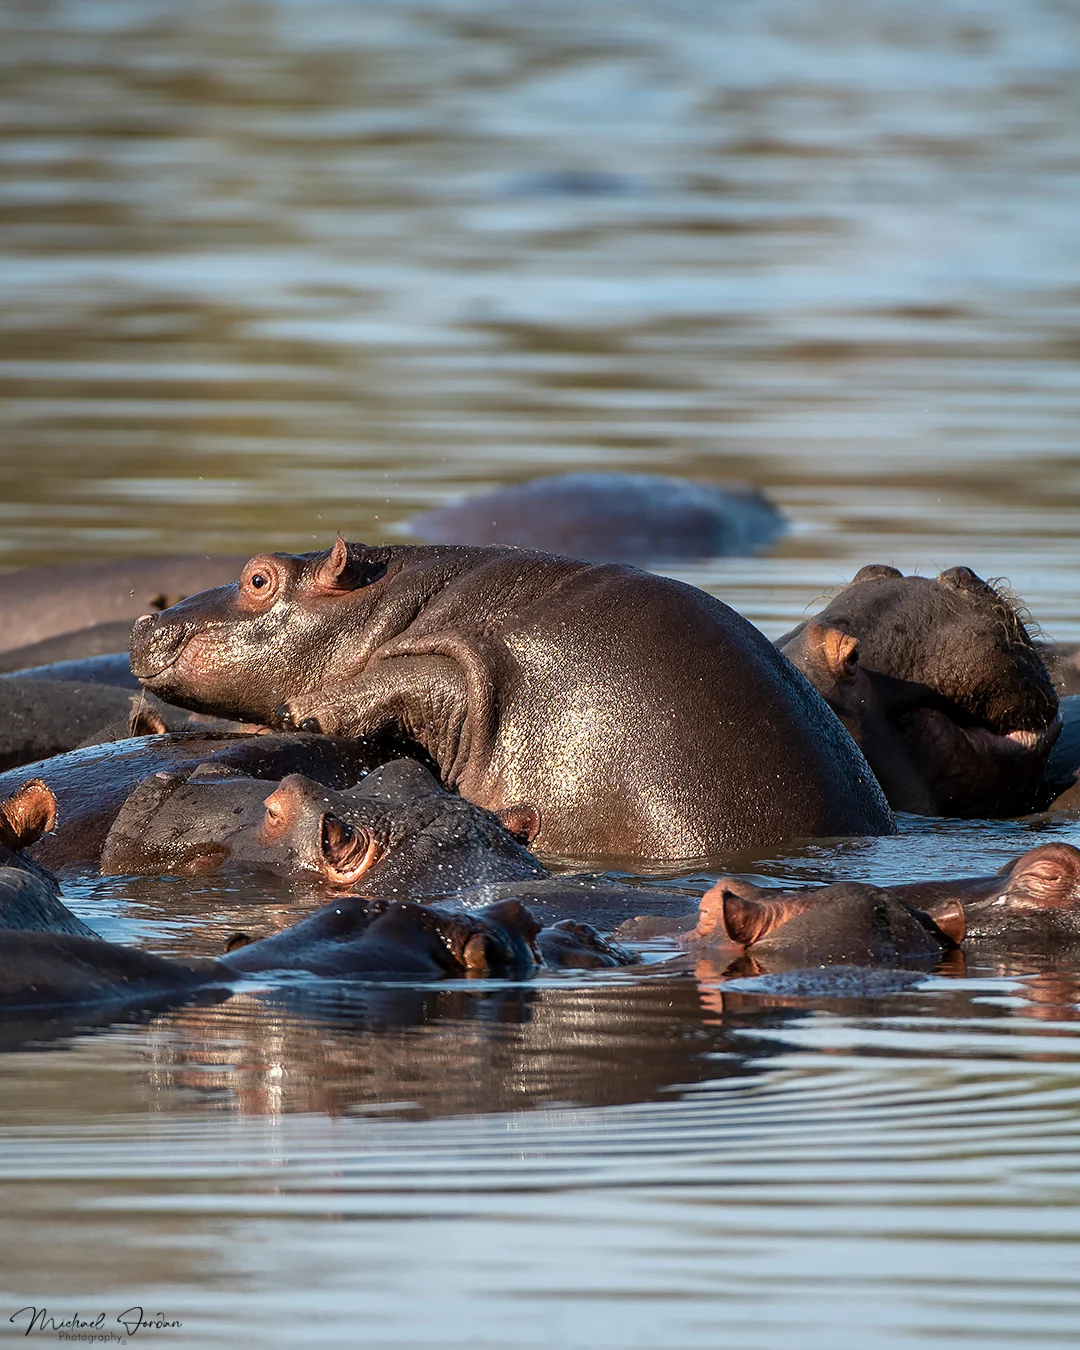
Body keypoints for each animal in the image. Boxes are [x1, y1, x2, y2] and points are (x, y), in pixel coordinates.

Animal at [129, 538, 893, 859]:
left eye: (259, 578)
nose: (143, 624)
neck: (387, 606)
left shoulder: (457, 664)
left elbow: (409, 681)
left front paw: (315, 708)